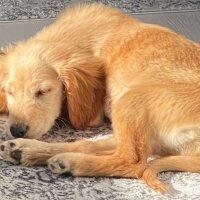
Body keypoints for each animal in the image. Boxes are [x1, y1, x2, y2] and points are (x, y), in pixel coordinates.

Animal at [0, 3, 200, 194]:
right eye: (9, 91)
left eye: (43, 91)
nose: (16, 130)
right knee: (87, 145)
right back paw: (26, 150)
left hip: (131, 99)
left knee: (132, 162)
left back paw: (69, 162)